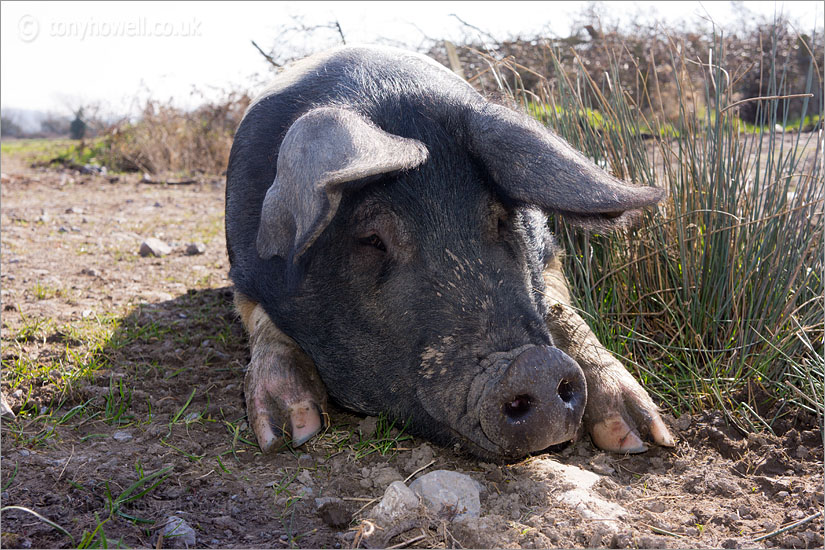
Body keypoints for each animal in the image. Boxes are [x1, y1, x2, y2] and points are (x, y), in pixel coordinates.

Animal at [225, 44, 676, 462]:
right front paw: (291, 431)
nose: (535, 366)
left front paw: (646, 437)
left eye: (500, 220)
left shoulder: (548, 250)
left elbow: (559, 305)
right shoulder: (243, 270)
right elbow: (261, 319)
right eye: (372, 239)